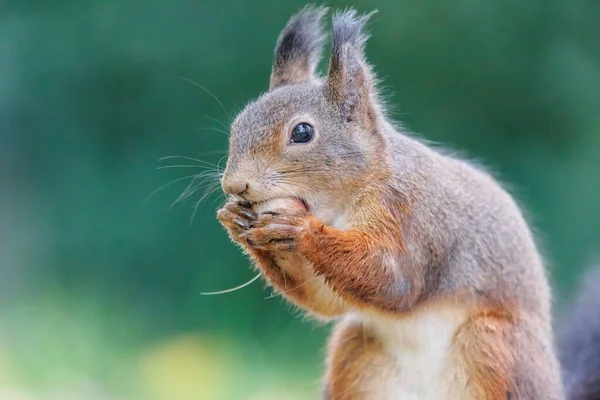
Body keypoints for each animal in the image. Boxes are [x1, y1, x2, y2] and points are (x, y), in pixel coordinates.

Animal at [214, 6, 596, 400]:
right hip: (357, 352)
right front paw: (233, 219)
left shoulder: (410, 214)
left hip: (494, 344)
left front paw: (300, 227)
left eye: (302, 132)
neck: (343, 202)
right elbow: (325, 300)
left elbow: (394, 279)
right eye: (237, 125)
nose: (235, 184)